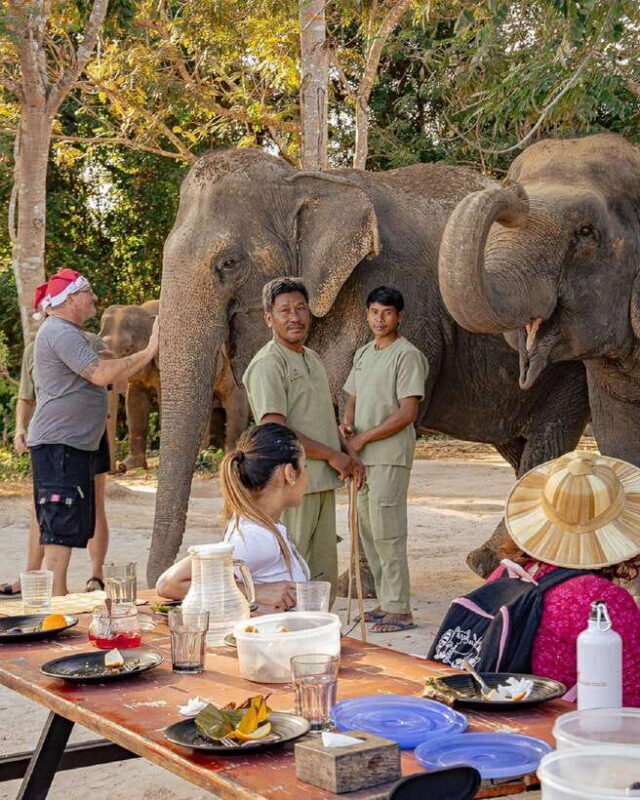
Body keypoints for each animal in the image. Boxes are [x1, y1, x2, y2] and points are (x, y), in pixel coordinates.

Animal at [147, 148, 590, 585]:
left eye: (229, 263)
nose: (157, 584)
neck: (312, 180)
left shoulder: (404, 297)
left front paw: (353, 587)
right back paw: (494, 560)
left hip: (570, 360)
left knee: (549, 439)